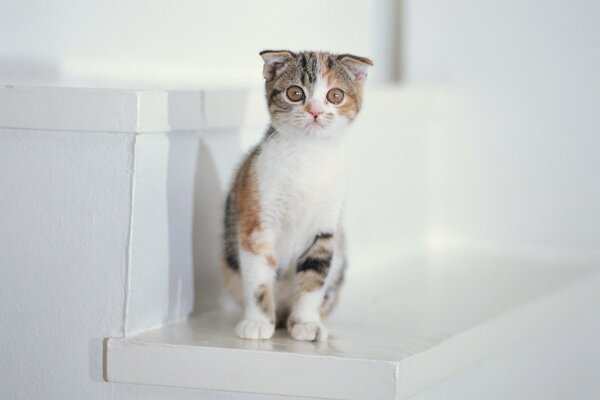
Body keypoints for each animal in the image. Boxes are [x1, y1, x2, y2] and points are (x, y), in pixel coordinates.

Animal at [221, 50, 370, 342]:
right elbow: (257, 276)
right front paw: (257, 322)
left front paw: (306, 323)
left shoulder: (325, 228)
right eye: (295, 93)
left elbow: (314, 277)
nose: (314, 111)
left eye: (335, 95)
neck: (307, 154)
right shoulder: (257, 219)